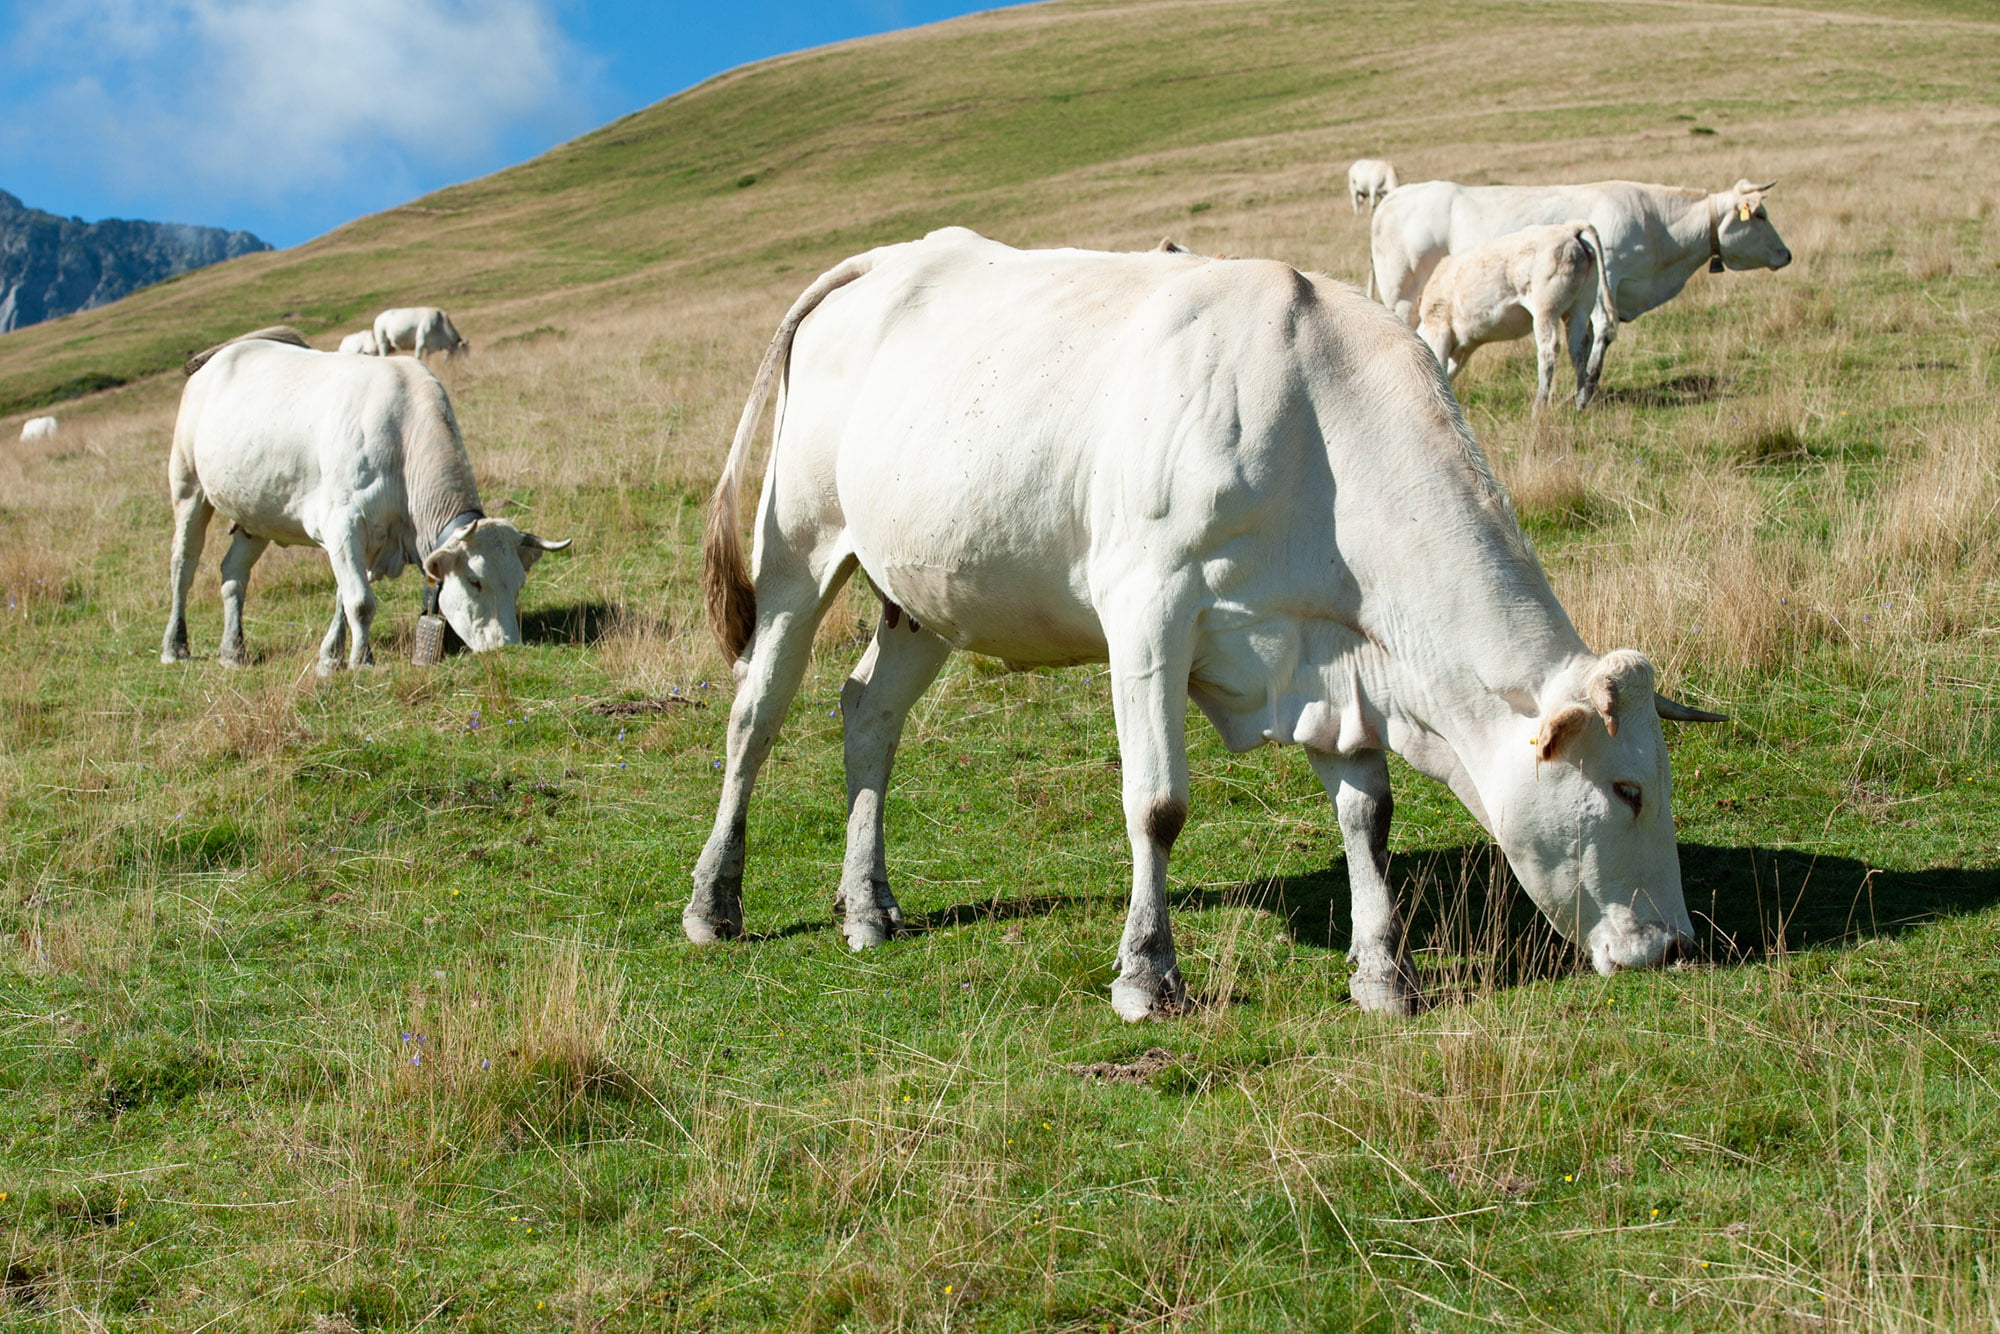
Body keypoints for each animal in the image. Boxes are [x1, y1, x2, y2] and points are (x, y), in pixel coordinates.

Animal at [159, 324, 568, 680]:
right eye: (474, 580)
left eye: (518, 583)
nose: (507, 646)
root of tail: (227, 351)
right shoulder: (342, 522)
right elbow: (360, 600)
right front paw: (362, 660)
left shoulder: (369, 537)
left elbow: (346, 596)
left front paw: (330, 658)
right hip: (187, 484)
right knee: (183, 564)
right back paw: (174, 647)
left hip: (256, 511)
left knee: (233, 573)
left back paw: (233, 650)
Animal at [1368, 179, 1792, 336]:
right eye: (1760, 215)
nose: (1786, 254)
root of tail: (1394, 195)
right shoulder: (1611, 279)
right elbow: (1601, 333)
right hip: (1402, 296)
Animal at [1416, 222, 1616, 410]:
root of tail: (1568, 229)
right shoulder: (1462, 349)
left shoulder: (1439, 329)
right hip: (1580, 308)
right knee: (1578, 348)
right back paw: (1580, 403)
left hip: (1546, 309)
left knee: (1549, 350)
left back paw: (1539, 407)